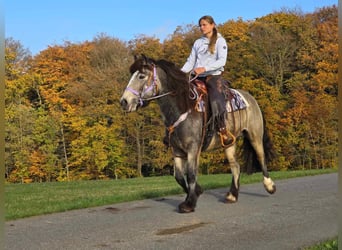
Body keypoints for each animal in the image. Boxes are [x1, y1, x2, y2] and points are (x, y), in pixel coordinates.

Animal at [119, 54, 276, 213]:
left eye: (141, 76)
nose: (124, 102)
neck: (182, 108)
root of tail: (250, 97)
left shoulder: (193, 148)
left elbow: (191, 174)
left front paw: (189, 203)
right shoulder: (177, 150)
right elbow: (179, 176)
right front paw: (197, 192)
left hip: (254, 135)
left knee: (261, 157)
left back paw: (269, 186)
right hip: (228, 143)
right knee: (235, 166)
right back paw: (232, 195)